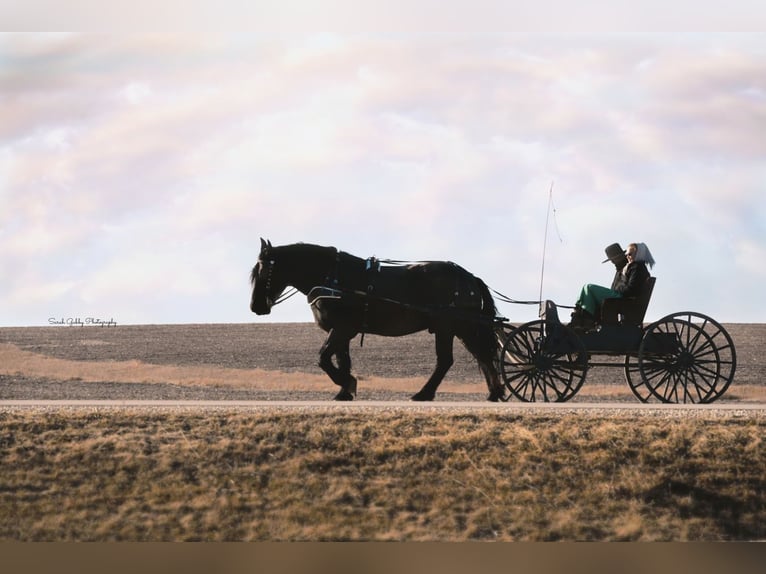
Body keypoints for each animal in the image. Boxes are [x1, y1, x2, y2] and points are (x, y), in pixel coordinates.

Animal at [250, 239, 505, 402]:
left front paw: (348, 383)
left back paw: (424, 394)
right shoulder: (341, 331)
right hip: (463, 328)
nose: (255, 307)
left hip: (448, 327)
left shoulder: (342, 329)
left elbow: (323, 358)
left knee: (448, 361)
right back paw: (494, 393)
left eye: (263, 271)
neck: (332, 279)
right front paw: (344, 391)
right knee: (483, 356)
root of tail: (469, 277)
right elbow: (342, 360)